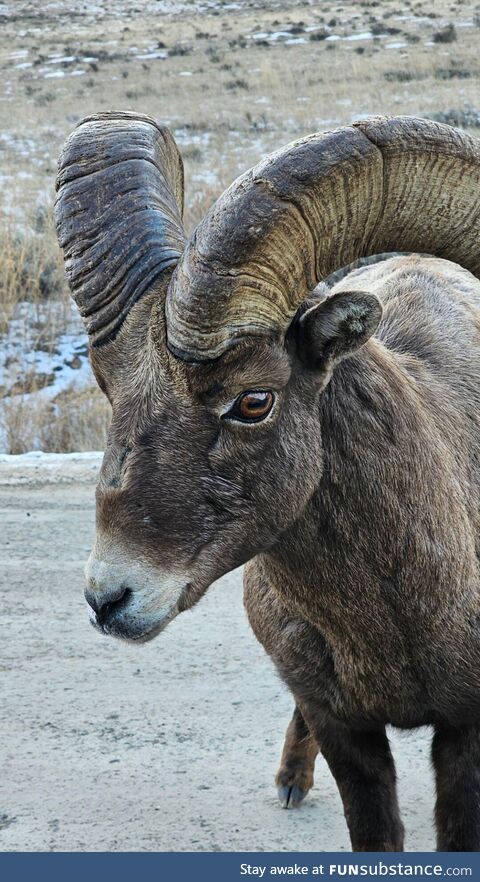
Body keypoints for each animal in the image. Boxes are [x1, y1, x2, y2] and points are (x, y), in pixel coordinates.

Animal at [54, 113, 480, 848]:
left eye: (253, 401)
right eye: (109, 386)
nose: (110, 598)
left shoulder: (465, 738)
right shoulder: (345, 731)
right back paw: (289, 782)